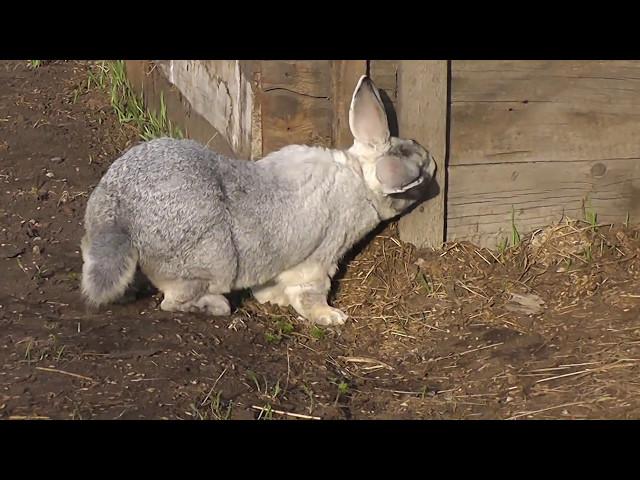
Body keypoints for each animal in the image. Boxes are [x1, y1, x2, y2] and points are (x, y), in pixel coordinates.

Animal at [81, 76, 436, 326]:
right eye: (419, 175)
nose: (434, 167)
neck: (359, 178)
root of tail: (119, 215)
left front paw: (270, 298)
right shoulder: (319, 259)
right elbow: (309, 293)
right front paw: (331, 317)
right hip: (209, 262)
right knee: (174, 301)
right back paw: (216, 305)